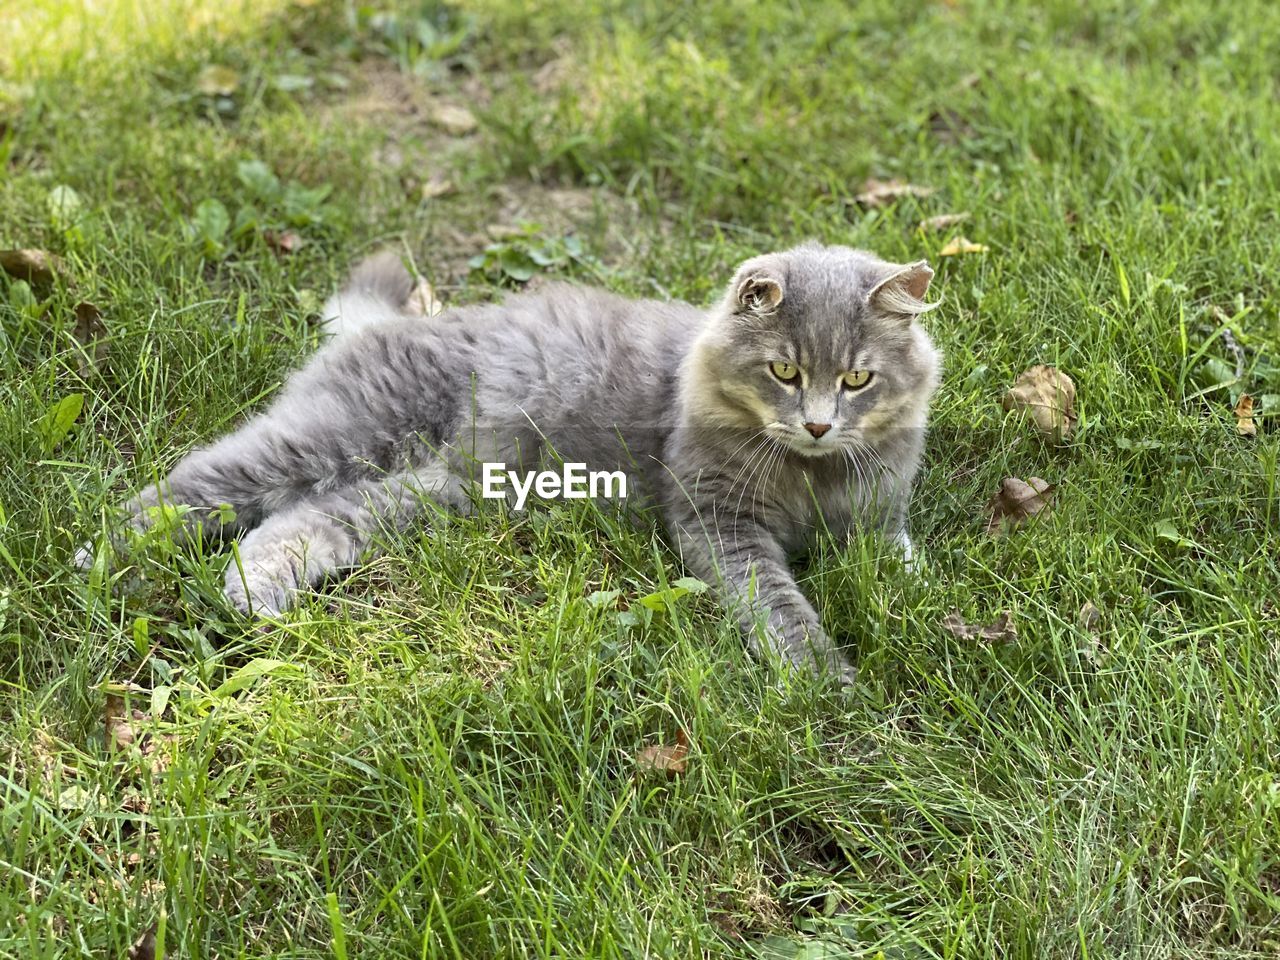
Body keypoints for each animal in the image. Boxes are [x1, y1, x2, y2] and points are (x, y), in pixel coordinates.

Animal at [85, 244, 936, 686]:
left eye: (857, 379)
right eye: (784, 372)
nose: (819, 424)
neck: (811, 478)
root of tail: (404, 323)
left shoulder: (879, 516)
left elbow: (897, 561)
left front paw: (912, 598)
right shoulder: (718, 521)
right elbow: (779, 604)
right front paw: (822, 676)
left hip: (431, 491)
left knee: (306, 520)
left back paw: (252, 594)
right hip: (335, 436)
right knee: (192, 485)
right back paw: (104, 560)